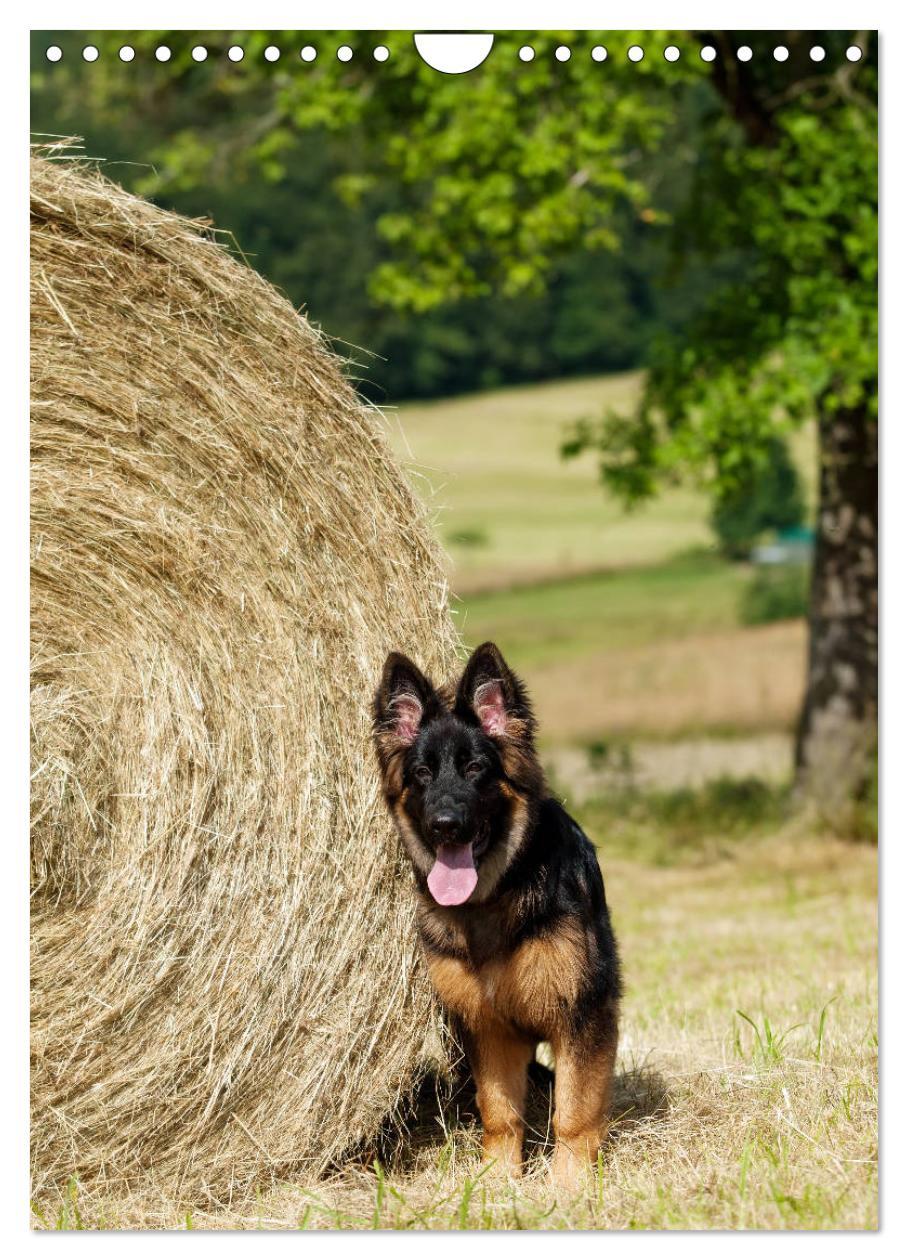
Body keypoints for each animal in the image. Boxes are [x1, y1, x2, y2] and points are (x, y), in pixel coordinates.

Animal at [372, 645, 619, 1184]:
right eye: (422, 774)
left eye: (475, 769)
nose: (445, 826)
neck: (492, 897)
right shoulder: (488, 1028)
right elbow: (500, 1112)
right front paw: (497, 1180)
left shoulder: (582, 1015)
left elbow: (574, 1111)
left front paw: (568, 1185)